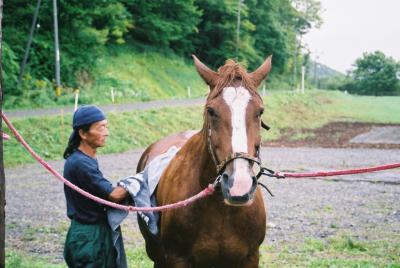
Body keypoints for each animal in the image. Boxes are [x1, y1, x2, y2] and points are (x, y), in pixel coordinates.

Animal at [137, 54, 272, 266]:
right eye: (211, 111)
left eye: (260, 112)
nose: (239, 186)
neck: (220, 210)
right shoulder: (177, 259)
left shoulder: (250, 258)